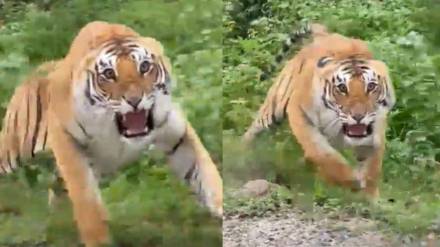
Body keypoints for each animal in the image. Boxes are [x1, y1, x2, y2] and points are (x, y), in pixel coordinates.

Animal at [0, 21, 223, 247]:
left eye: (144, 67)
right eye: (108, 74)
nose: (134, 100)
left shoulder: (177, 132)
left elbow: (207, 174)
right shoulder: (68, 142)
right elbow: (88, 204)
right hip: (14, 150)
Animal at [242, 23, 398, 199]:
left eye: (371, 86)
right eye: (342, 88)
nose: (358, 116)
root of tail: (325, 34)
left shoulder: (376, 127)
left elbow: (372, 167)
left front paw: (370, 197)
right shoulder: (300, 114)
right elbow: (324, 156)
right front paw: (351, 182)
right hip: (275, 105)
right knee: (254, 129)